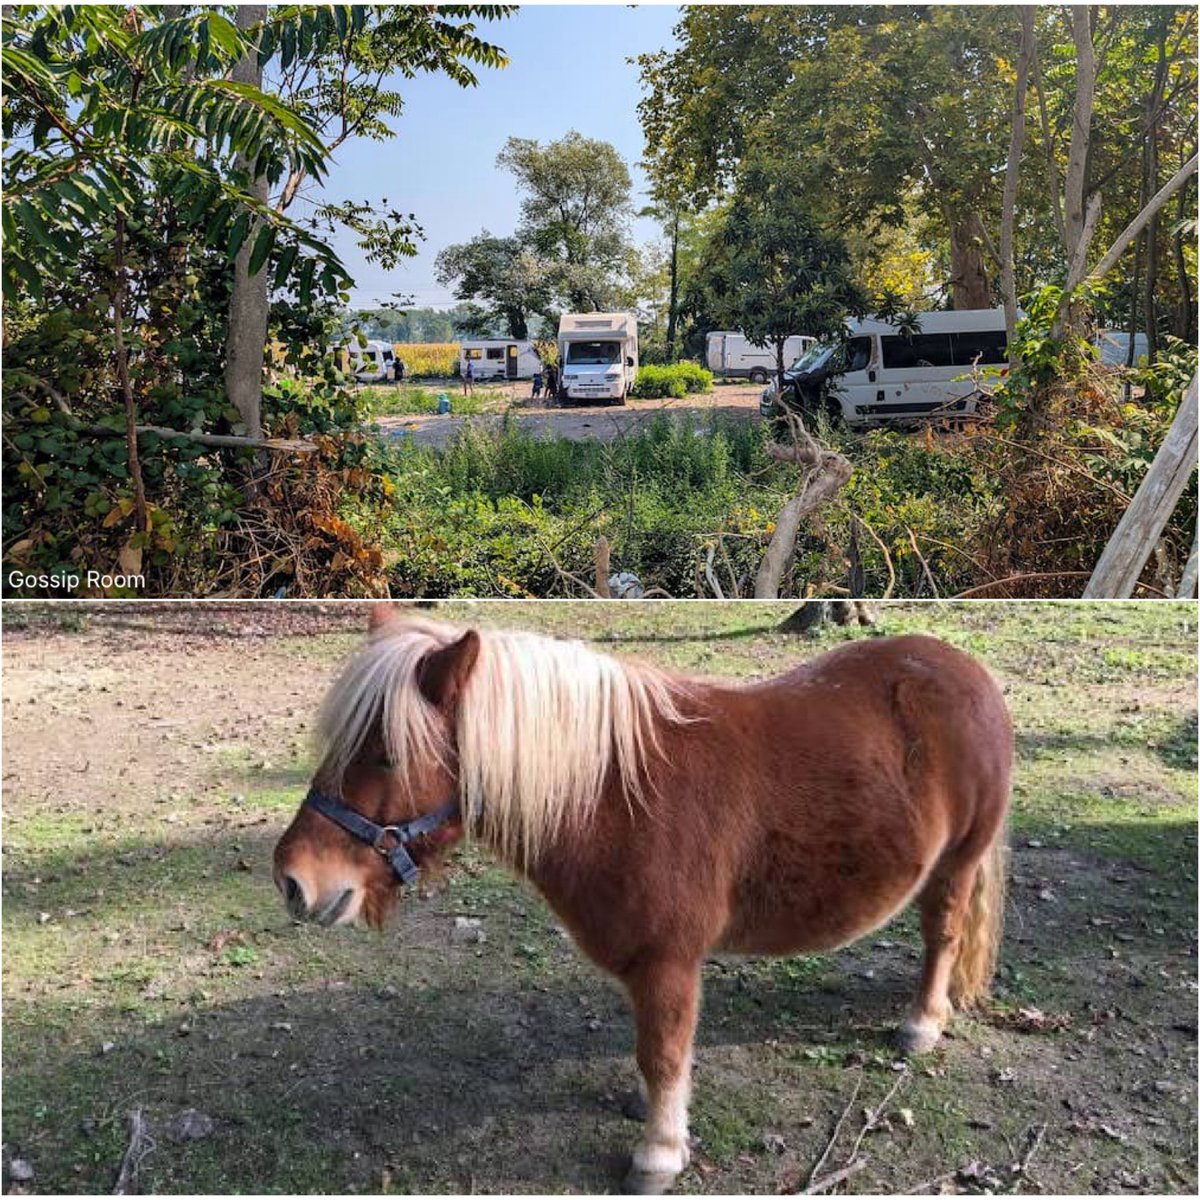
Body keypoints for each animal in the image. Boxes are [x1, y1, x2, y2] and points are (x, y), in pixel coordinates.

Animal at [274, 608, 1012, 1193]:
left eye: (387, 756)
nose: (292, 880)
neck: (612, 797)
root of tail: (965, 670)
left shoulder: (669, 961)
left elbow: (664, 1051)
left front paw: (658, 1153)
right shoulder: (644, 965)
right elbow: (654, 1047)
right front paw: (652, 1108)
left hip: (956, 866)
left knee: (942, 937)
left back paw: (921, 1024)